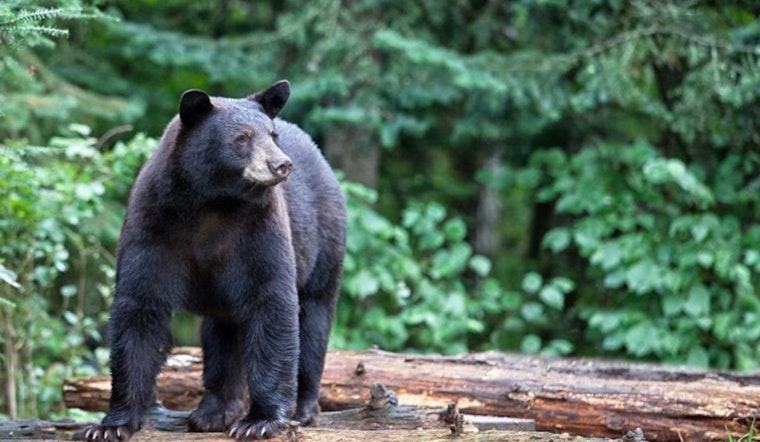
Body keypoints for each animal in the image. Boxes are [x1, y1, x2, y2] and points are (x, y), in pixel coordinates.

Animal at [77, 80, 346, 441]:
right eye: (242, 138)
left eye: (272, 134)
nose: (282, 164)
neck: (213, 202)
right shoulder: (153, 224)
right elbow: (140, 306)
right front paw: (110, 424)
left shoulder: (260, 229)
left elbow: (271, 301)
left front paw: (261, 421)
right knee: (222, 337)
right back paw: (214, 411)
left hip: (324, 243)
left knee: (314, 320)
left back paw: (303, 410)